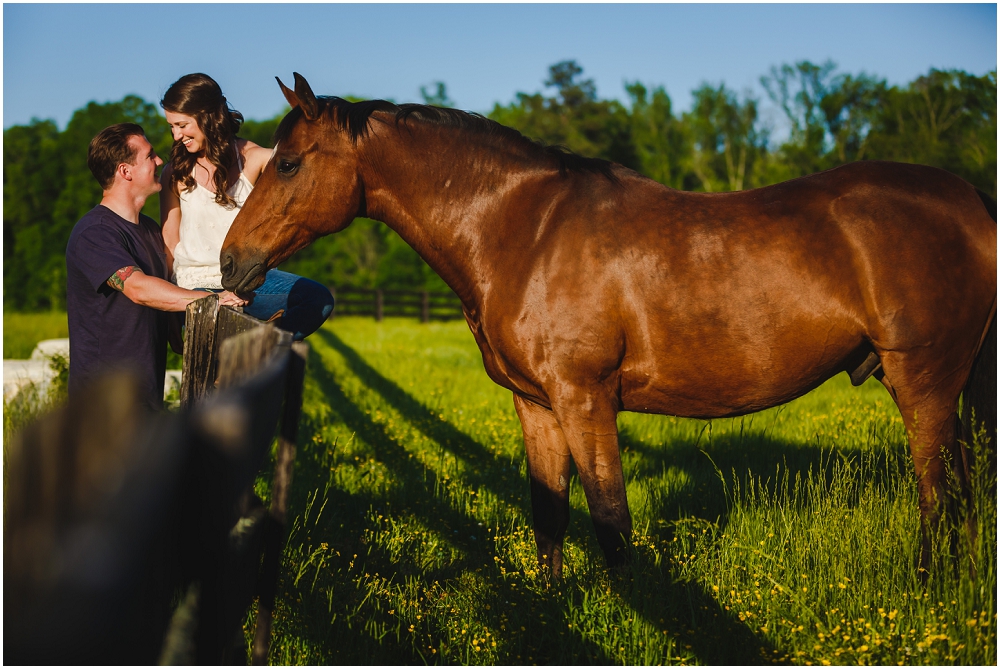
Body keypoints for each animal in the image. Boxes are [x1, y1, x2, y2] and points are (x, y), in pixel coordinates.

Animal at [223, 72, 996, 576]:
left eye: (287, 163)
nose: (232, 262)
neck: (522, 232)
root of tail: (970, 204)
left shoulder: (585, 398)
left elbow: (612, 523)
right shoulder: (536, 405)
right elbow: (551, 516)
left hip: (923, 380)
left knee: (939, 495)